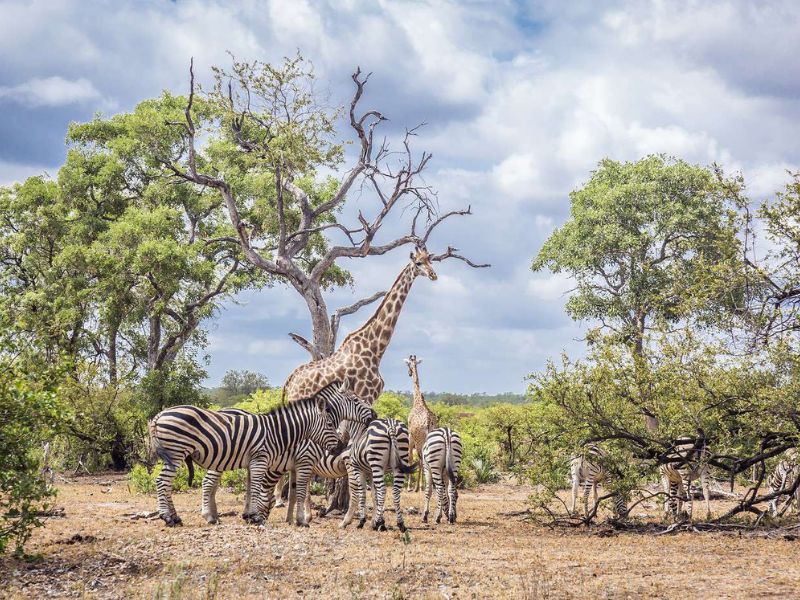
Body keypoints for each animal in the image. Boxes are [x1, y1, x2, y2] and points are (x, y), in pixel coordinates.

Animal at [148, 382, 374, 528]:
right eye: (356, 399)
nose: (374, 415)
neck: (282, 431)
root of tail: (159, 415)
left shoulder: (284, 464)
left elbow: (288, 492)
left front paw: (288, 519)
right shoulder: (298, 460)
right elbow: (290, 491)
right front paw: (295, 519)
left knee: (180, 484)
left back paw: (192, 517)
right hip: (179, 453)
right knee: (166, 482)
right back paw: (173, 518)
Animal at [284, 246, 438, 406]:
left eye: (430, 260)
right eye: (418, 263)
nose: (433, 275)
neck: (375, 349)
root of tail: (290, 382)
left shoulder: (371, 397)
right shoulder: (365, 395)